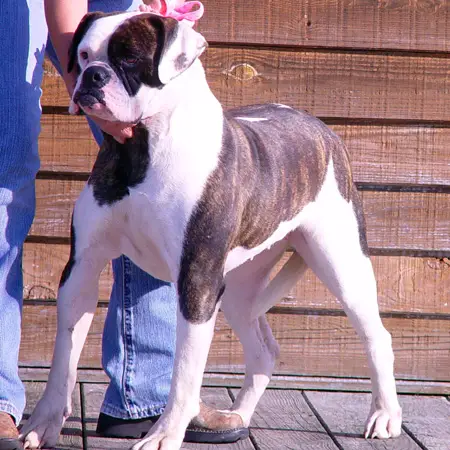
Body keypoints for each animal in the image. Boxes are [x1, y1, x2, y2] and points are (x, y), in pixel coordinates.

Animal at [21, 10, 402, 450]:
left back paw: (385, 415)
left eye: (130, 58)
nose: (92, 76)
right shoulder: (80, 270)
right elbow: (63, 356)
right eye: (83, 55)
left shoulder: (197, 281)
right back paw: (236, 417)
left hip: (342, 265)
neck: (143, 147)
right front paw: (42, 425)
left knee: (377, 337)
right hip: (239, 288)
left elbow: (184, 373)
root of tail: (322, 128)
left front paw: (164, 434)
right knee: (263, 350)